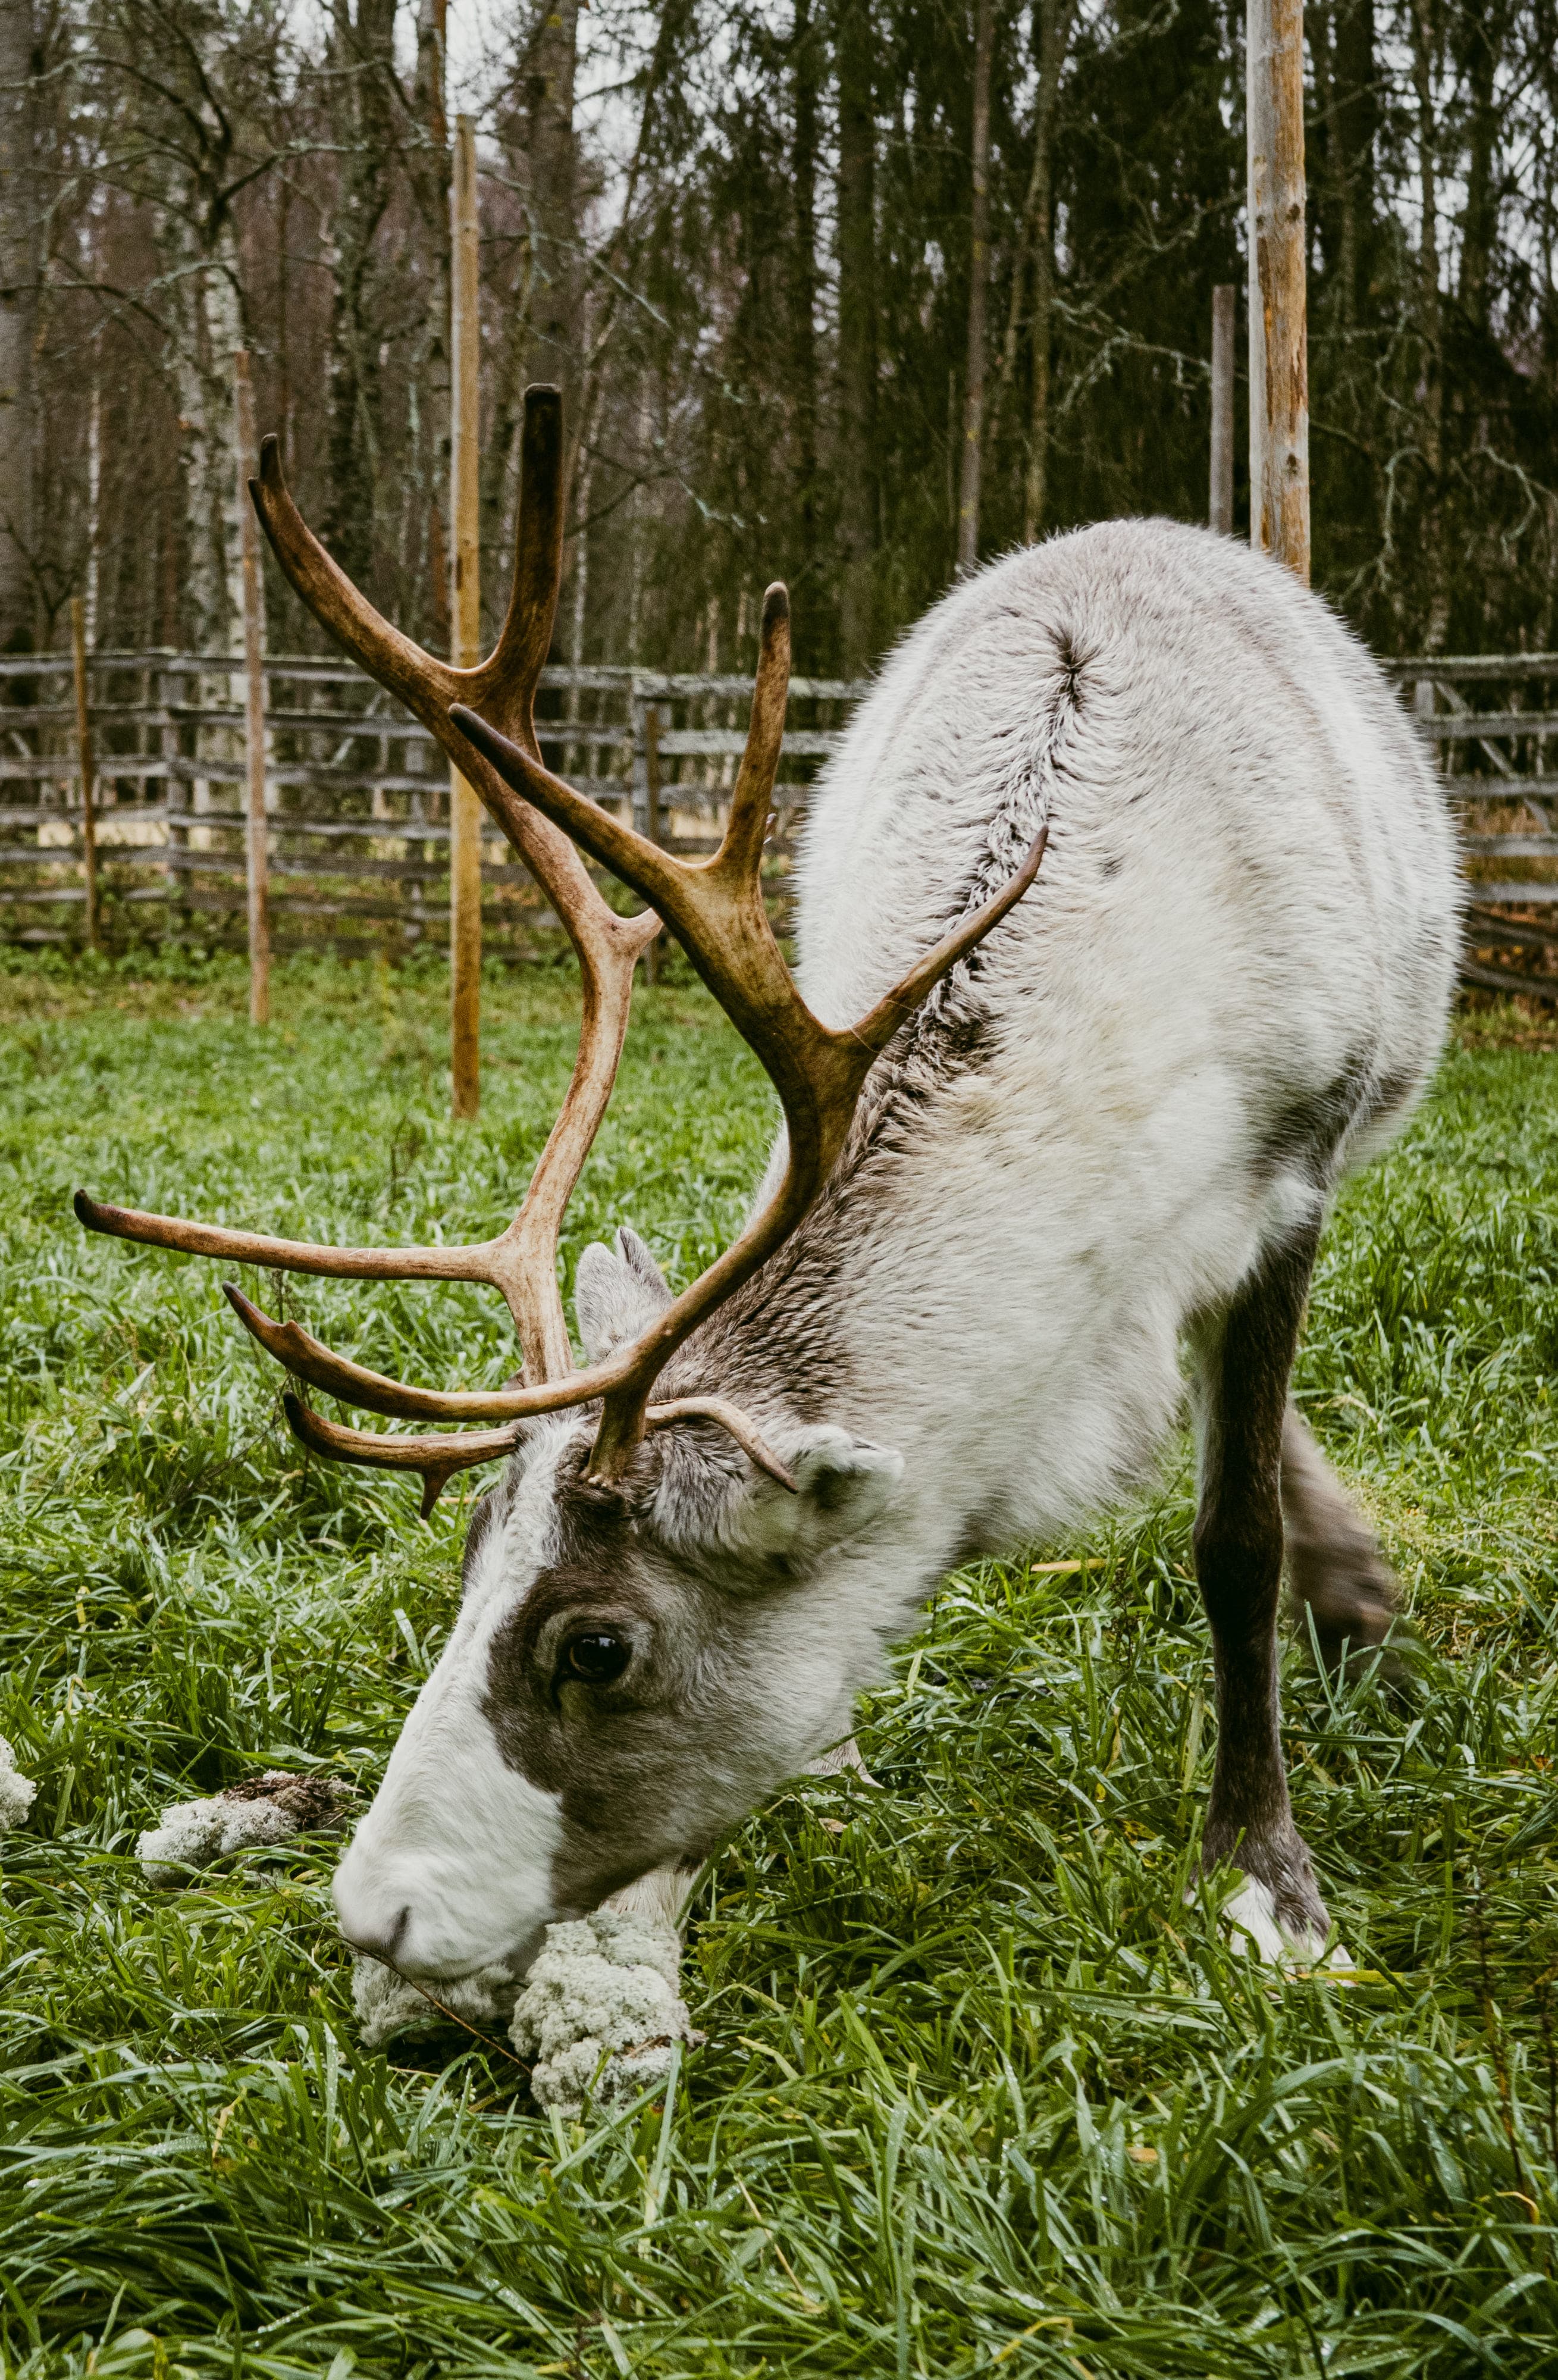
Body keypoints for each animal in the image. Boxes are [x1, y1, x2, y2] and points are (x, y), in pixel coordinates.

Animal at [77, 386, 1461, 1991]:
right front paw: (840, 1761)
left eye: (597, 1644)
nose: (379, 1910)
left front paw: (1262, 1877)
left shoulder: (1294, 1174)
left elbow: (1231, 1538)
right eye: (468, 1557)